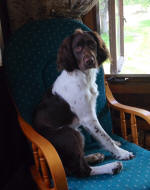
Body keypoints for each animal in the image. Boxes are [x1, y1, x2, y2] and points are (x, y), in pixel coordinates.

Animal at [32, 29, 134, 177]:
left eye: (92, 44)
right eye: (77, 48)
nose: (90, 60)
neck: (84, 76)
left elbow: (104, 136)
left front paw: (116, 144)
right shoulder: (88, 118)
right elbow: (105, 137)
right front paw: (122, 153)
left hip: (77, 133)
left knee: (74, 163)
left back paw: (94, 157)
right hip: (70, 133)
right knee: (81, 170)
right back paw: (112, 167)